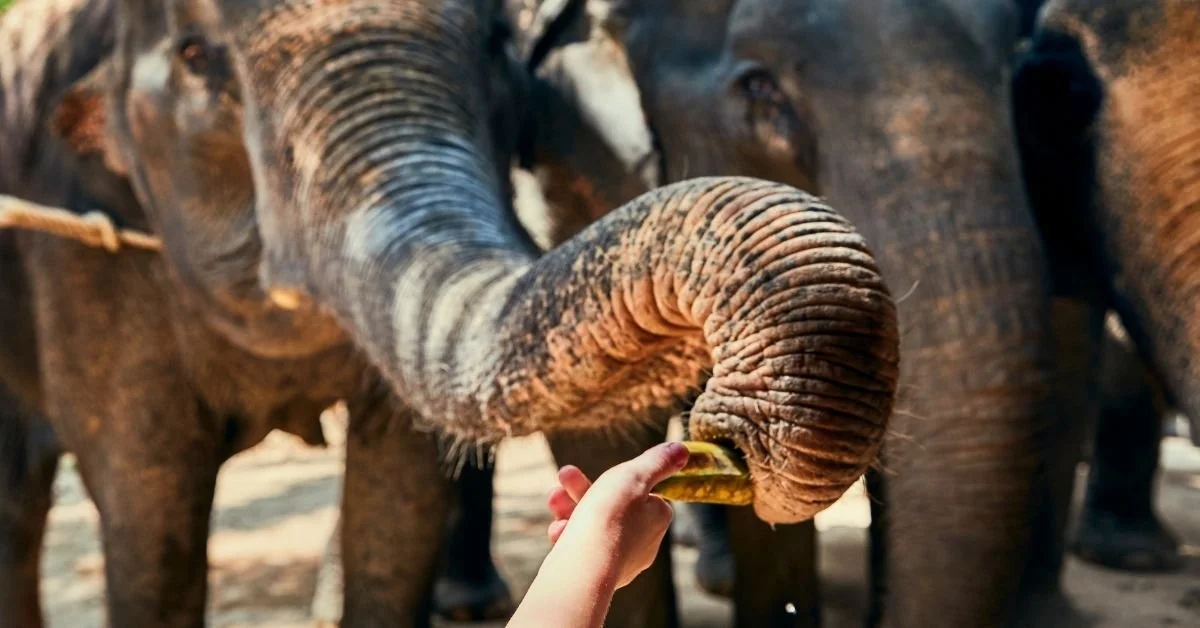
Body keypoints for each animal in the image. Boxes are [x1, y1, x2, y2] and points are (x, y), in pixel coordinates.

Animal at [0, 0, 902, 626]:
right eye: (195, 56)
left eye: (497, 43)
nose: (725, 434)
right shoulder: (82, 250)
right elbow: (150, 509)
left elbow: (399, 505)